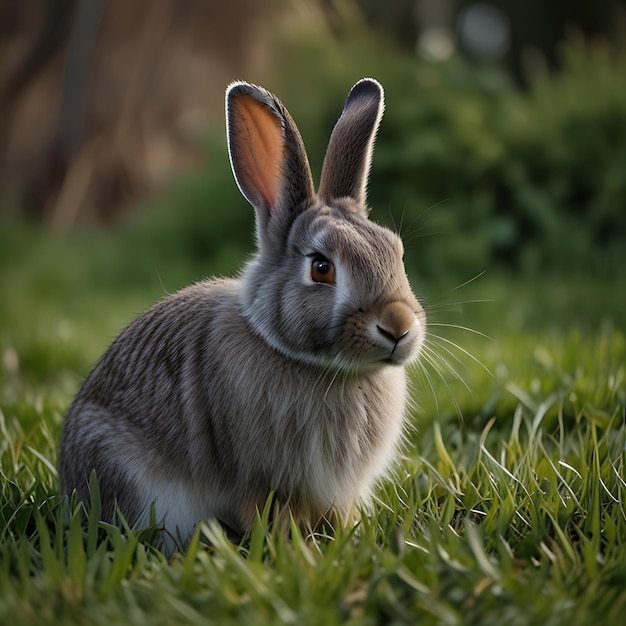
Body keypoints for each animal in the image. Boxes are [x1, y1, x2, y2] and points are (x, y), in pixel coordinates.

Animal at [58, 77, 426, 544]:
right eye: (321, 268)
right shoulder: (258, 481)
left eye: (396, 252)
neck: (327, 369)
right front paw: (292, 550)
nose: (398, 326)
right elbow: (265, 515)